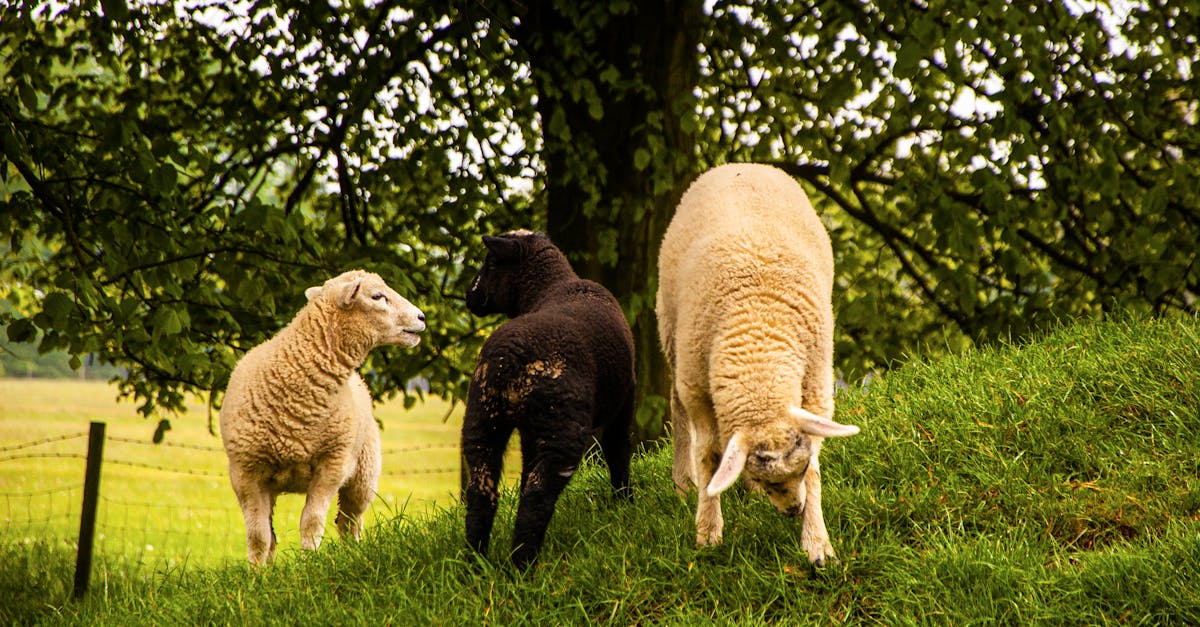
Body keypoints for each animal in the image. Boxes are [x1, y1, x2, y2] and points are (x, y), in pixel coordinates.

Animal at [220, 269, 426, 565]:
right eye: (377, 296)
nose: (421, 317)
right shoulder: (245, 472)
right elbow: (258, 536)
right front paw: (257, 573)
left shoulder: (333, 463)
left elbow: (311, 523)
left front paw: (310, 565)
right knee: (273, 534)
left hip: (364, 474)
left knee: (350, 522)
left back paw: (353, 556)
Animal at [462, 230, 635, 569]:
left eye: (491, 263)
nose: (469, 296)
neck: (552, 286)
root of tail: (508, 359)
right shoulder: (624, 401)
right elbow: (617, 452)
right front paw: (625, 502)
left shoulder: (530, 431)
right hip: (562, 429)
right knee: (537, 494)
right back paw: (523, 565)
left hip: (482, 418)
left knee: (481, 490)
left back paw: (474, 563)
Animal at [655, 163, 860, 566]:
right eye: (770, 480)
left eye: (799, 470)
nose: (794, 510)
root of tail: (741, 165)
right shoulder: (697, 389)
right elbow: (708, 455)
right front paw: (707, 530)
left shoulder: (815, 387)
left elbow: (815, 469)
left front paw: (817, 543)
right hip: (671, 335)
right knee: (678, 410)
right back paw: (684, 482)